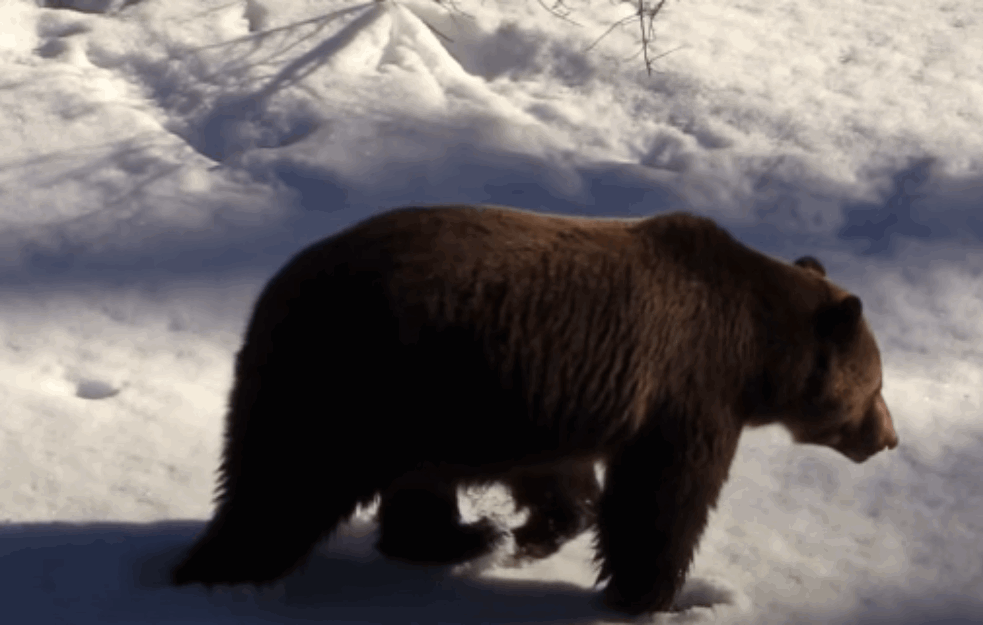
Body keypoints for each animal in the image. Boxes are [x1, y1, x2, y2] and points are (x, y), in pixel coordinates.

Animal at [171, 204, 900, 616]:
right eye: (876, 384)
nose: (889, 437)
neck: (757, 353)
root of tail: (275, 289)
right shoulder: (688, 385)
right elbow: (664, 497)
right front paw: (651, 594)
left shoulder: (555, 393)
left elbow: (562, 477)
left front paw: (538, 532)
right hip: (355, 380)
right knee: (285, 486)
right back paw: (217, 576)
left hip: (421, 401)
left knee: (410, 486)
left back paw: (465, 536)